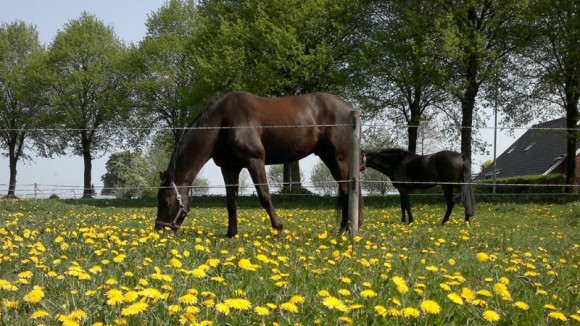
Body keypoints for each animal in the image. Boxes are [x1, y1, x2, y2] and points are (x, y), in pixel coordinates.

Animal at [156, 91, 360, 237]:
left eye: (165, 200)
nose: (159, 231)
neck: (223, 123)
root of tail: (349, 109)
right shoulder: (229, 167)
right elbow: (231, 202)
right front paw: (231, 234)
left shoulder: (255, 161)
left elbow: (264, 196)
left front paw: (278, 228)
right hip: (329, 157)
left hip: (339, 158)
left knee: (345, 191)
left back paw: (343, 230)